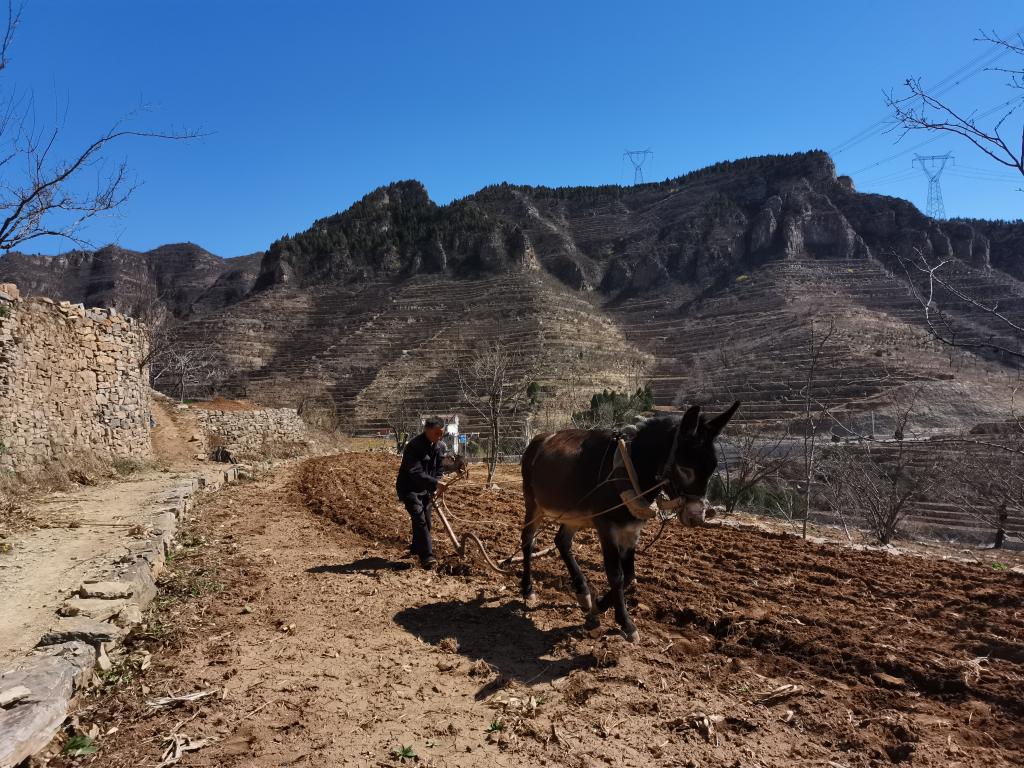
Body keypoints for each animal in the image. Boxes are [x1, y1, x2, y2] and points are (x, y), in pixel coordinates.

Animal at [519, 402, 740, 642]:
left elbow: (630, 577)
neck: (631, 468)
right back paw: (528, 589)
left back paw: (583, 592)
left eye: (713, 467)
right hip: (533, 504)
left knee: (562, 542)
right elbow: (616, 575)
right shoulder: (606, 526)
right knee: (528, 541)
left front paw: (598, 608)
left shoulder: (632, 530)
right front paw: (626, 623)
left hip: (573, 515)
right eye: (684, 467)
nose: (696, 516)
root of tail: (539, 439)